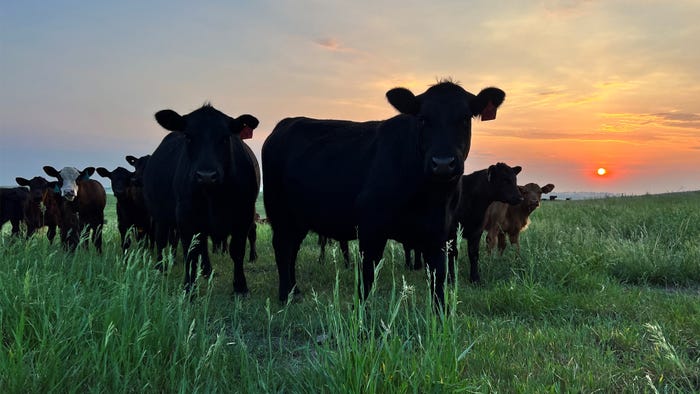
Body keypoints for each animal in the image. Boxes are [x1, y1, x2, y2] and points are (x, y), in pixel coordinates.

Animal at [142, 103, 260, 294]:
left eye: (225, 137)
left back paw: (206, 271)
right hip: (160, 215)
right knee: (161, 239)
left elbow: (237, 250)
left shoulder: (244, 215)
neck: (213, 196)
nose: (206, 176)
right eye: (189, 137)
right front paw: (189, 288)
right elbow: (190, 251)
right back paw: (161, 268)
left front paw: (240, 287)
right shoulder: (185, 216)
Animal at [262, 79, 504, 308]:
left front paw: (439, 315)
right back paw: (285, 296)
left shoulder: (440, 231)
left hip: (299, 217)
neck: (429, 197)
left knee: (292, 248)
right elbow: (367, 278)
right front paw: (361, 317)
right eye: (423, 119)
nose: (443, 163)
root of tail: (286, 123)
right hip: (279, 210)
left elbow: (439, 280)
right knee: (283, 247)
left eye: (464, 118)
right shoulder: (371, 227)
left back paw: (295, 291)